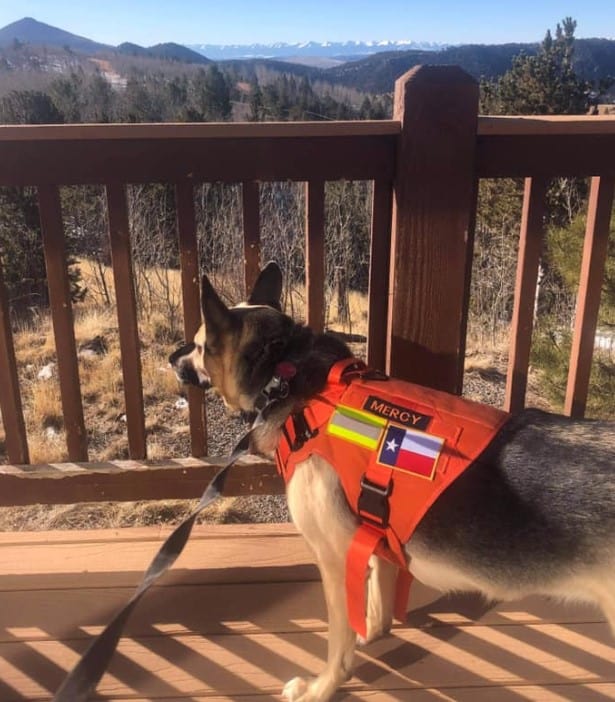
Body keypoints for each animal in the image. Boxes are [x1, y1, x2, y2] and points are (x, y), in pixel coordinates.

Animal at [170, 262, 615, 702]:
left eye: (199, 344)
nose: (173, 355)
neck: (285, 373)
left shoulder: (333, 557)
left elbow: (338, 640)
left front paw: (322, 687)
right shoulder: (375, 539)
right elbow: (376, 606)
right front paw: (370, 632)